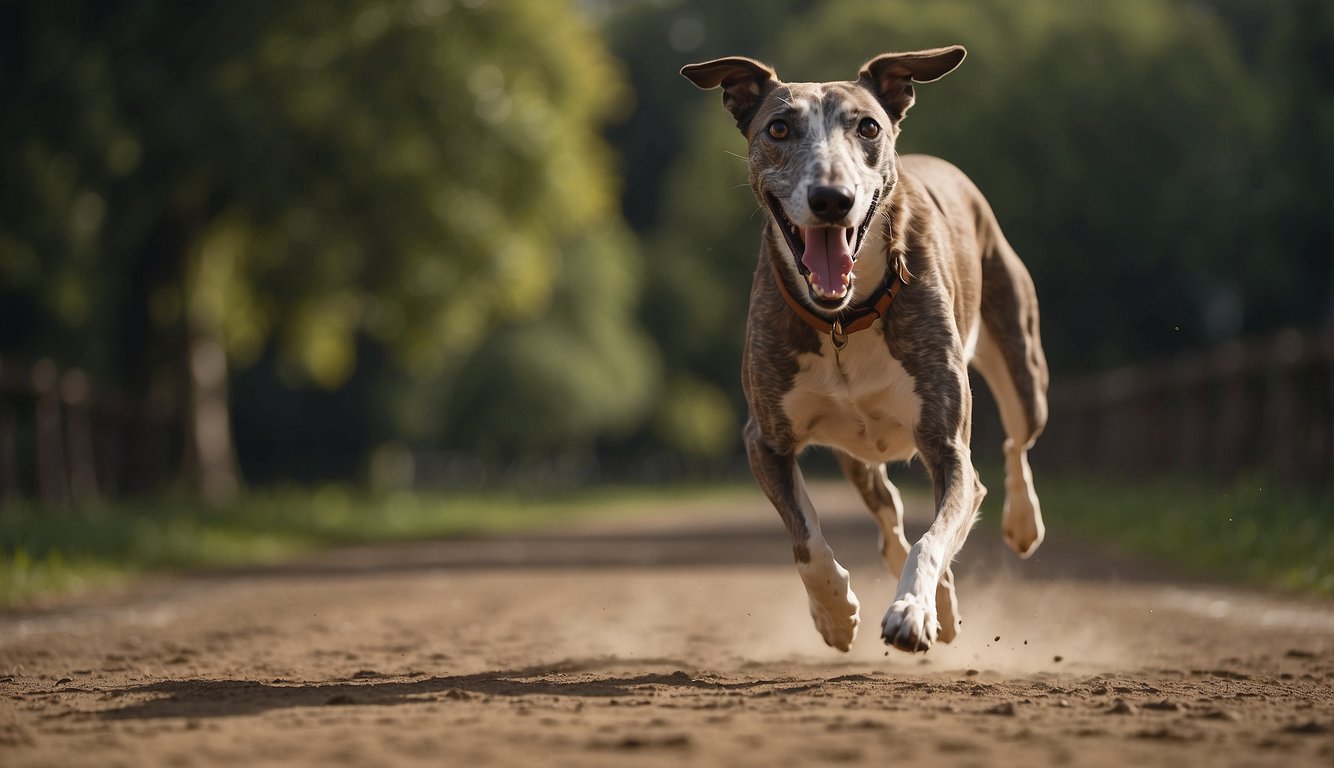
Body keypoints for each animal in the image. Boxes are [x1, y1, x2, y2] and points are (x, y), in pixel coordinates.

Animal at [688, 48, 1051, 650]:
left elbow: (938, 530)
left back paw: (1020, 526)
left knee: (1015, 440)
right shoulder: (765, 439)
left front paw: (911, 611)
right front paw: (835, 615)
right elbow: (806, 540)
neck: (845, 319)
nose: (832, 198)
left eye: (868, 127)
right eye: (778, 128)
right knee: (888, 511)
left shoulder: (946, 444)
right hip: (853, 450)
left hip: (1020, 357)